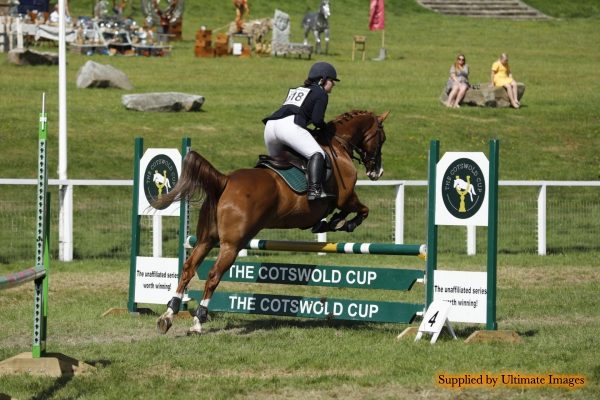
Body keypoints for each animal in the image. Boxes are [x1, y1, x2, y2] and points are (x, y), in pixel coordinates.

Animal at [154, 109, 390, 334]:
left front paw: (333, 222)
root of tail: (225, 180)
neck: (337, 147)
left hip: (206, 239)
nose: (377, 172)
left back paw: (168, 315)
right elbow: (362, 210)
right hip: (232, 245)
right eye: (382, 137)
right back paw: (197, 322)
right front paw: (344, 223)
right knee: (213, 276)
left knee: (188, 268)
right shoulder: (346, 198)